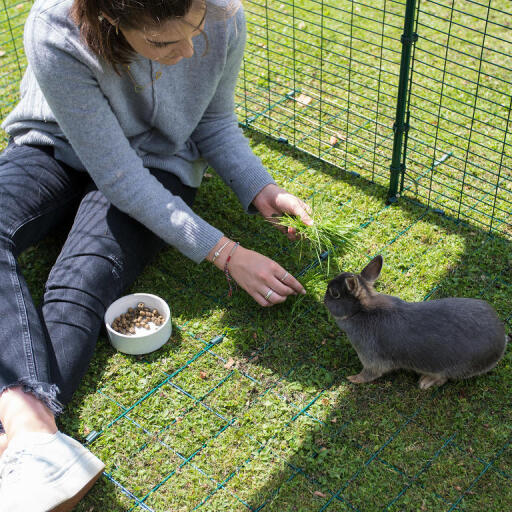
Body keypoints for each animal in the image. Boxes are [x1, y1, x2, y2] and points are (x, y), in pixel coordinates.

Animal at [324, 256, 508, 388]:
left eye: (334, 294)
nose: (324, 300)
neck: (360, 311)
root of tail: (502, 341)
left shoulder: (371, 358)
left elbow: (369, 374)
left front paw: (353, 378)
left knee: (443, 379)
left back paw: (425, 382)